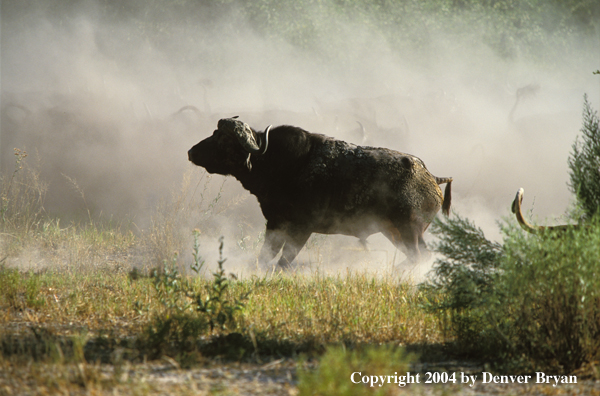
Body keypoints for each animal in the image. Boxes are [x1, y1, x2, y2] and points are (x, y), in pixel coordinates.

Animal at [188, 117, 450, 270]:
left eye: (223, 139)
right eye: (214, 133)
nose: (191, 151)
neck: (282, 164)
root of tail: (432, 177)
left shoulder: (301, 228)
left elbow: (283, 261)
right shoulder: (275, 224)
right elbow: (264, 257)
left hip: (408, 230)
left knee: (418, 257)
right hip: (396, 232)